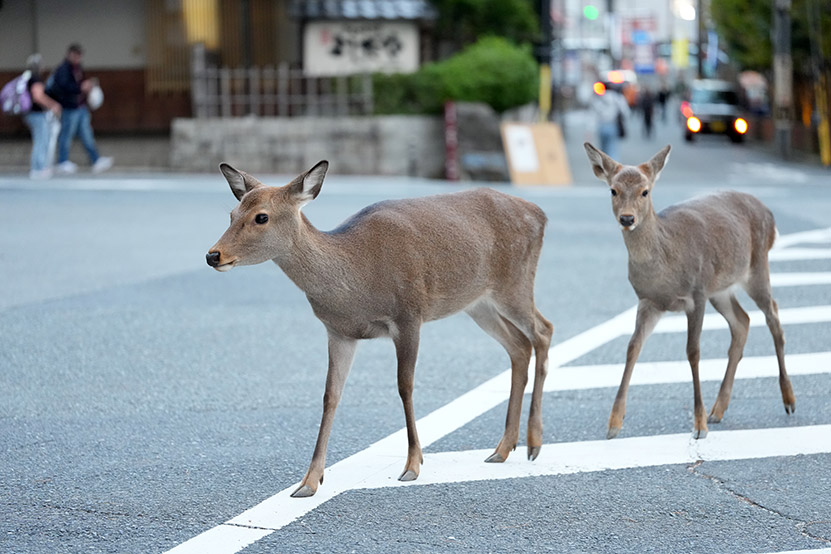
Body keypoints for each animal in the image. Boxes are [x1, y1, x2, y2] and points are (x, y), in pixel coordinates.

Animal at [206, 161, 554, 497]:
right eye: (232, 214)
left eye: (261, 217)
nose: (213, 255)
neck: (357, 278)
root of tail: (540, 213)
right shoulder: (339, 332)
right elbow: (330, 395)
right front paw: (309, 481)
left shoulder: (409, 315)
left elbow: (404, 386)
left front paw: (413, 464)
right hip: (478, 304)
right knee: (519, 346)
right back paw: (503, 448)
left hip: (514, 283)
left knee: (543, 330)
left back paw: (534, 443)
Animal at [583, 142, 795, 440]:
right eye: (613, 190)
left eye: (645, 191)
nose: (627, 218)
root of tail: (770, 214)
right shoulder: (648, 301)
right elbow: (632, 347)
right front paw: (613, 423)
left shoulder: (696, 295)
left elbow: (693, 351)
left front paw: (698, 426)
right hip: (720, 289)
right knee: (742, 321)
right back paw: (718, 409)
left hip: (755, 269)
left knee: (773, 317)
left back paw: (788, 400)